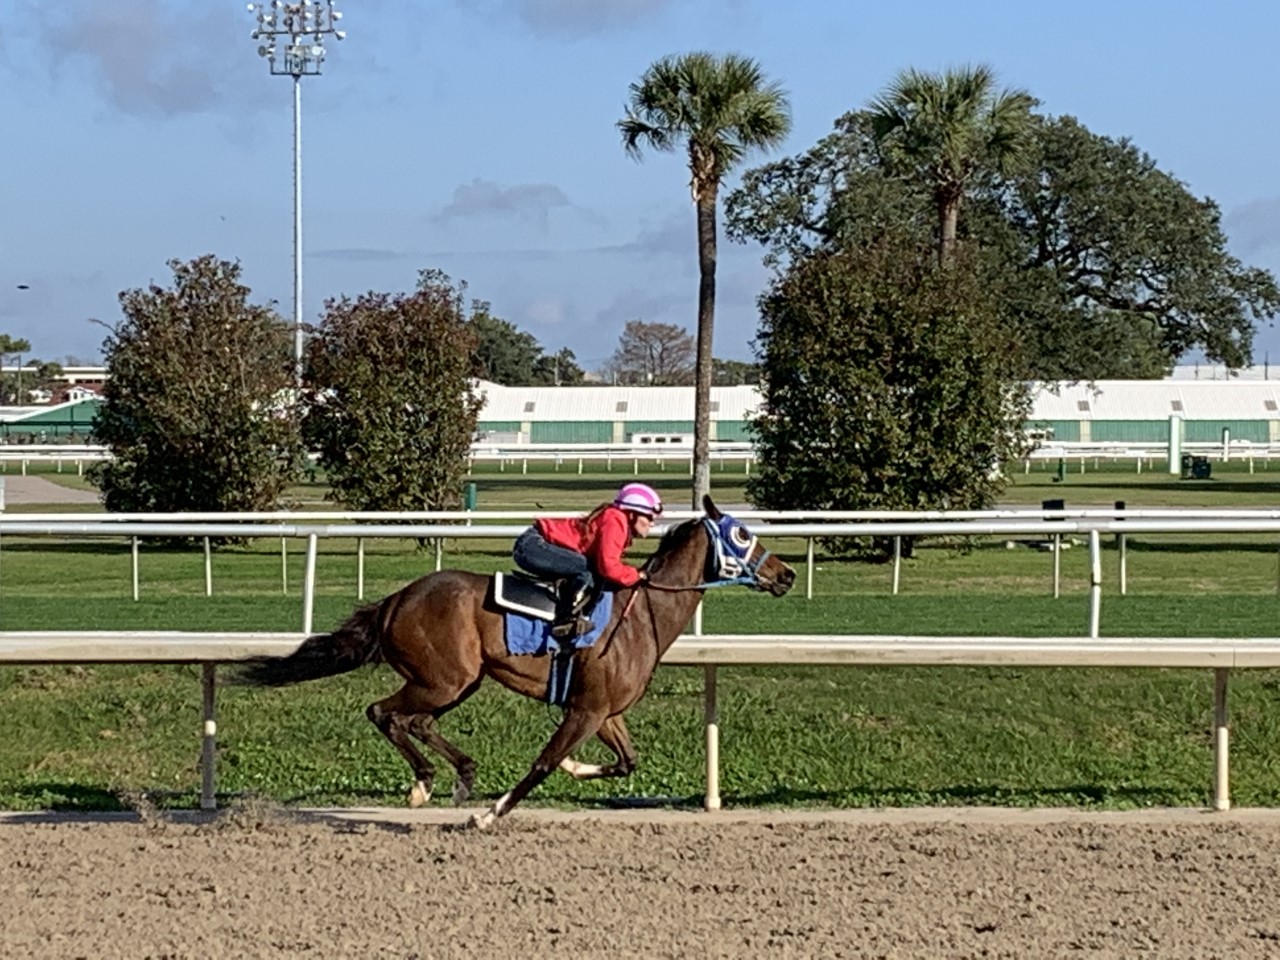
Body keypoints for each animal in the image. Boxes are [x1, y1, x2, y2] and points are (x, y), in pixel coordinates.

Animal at [239, 496, 793, 829]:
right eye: (742, 535)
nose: (785, 574)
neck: (644, 612)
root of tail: (396, 599)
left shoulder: (605, 711)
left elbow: (626, 761)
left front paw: (575, 764)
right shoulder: (585, 709)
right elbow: (543, 761)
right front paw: (492, 813)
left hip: (457, 683)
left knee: (412, 720)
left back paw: (456, 775)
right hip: (443, 680)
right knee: (384, 712)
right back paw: (429, 782)